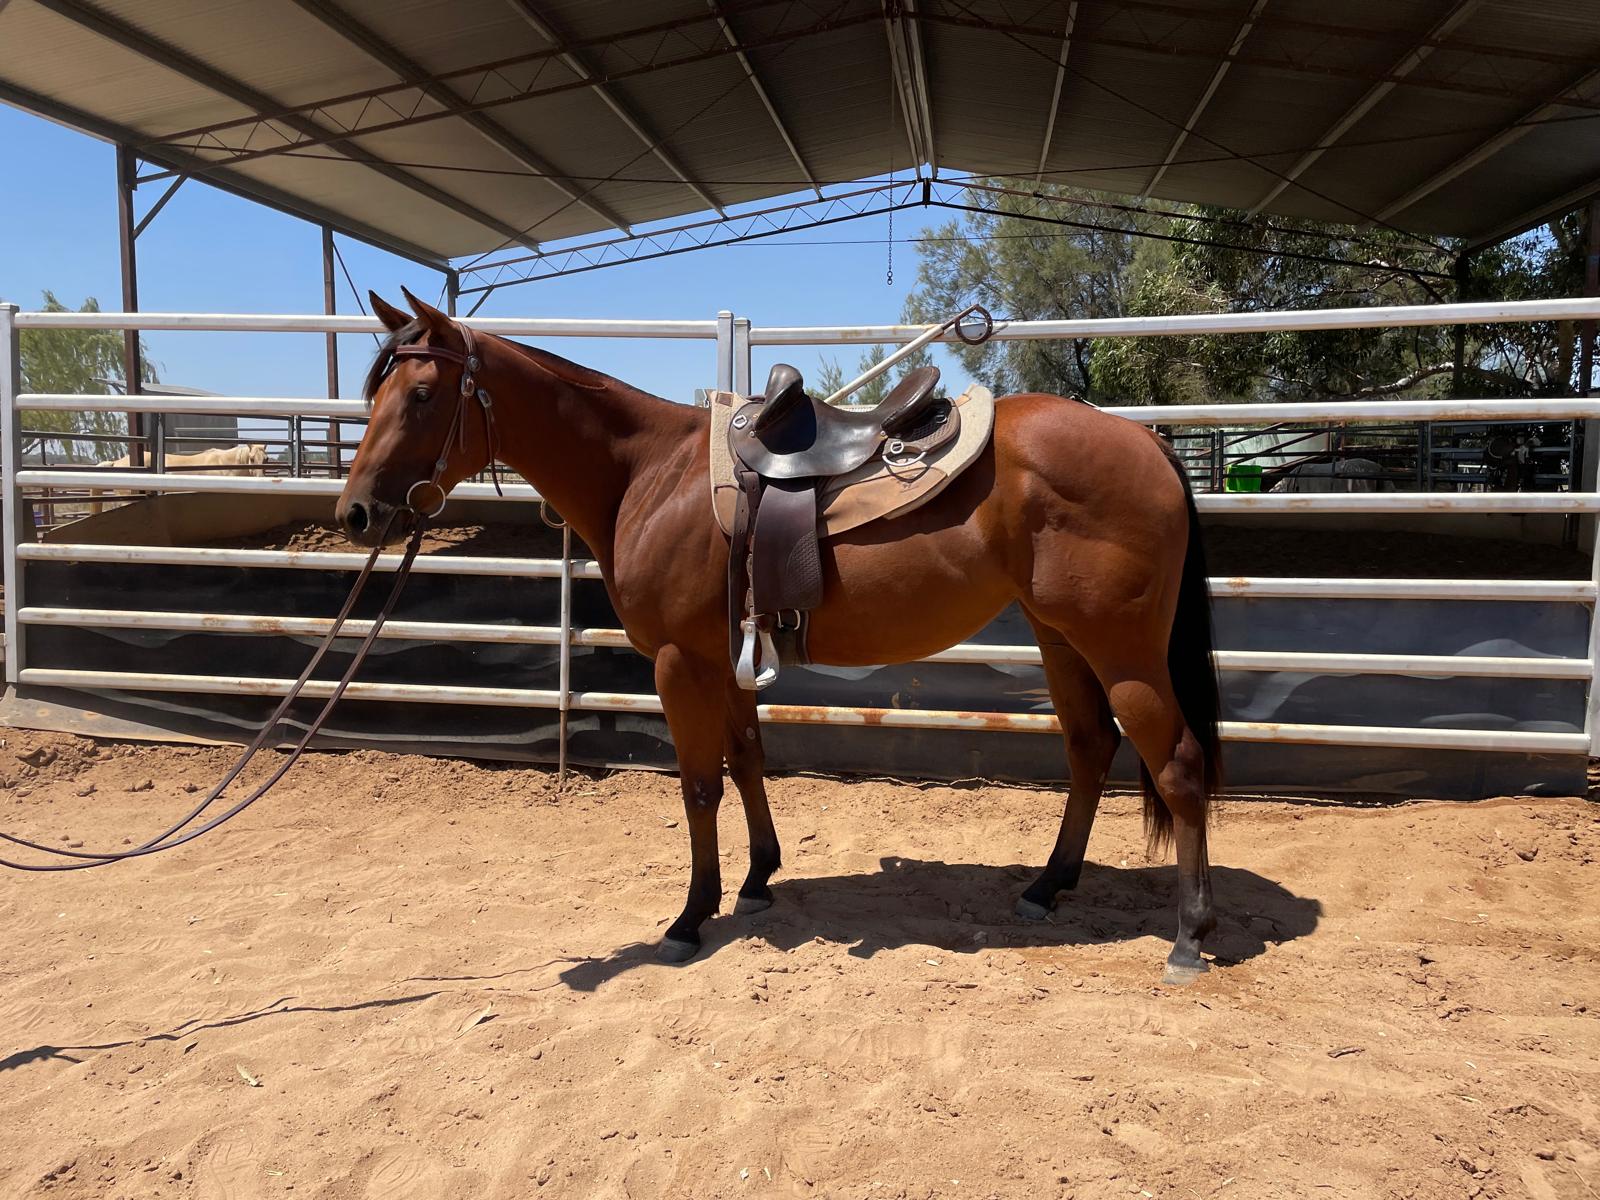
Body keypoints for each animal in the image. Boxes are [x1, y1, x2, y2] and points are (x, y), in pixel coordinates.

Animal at [336, 290, 1223, 983]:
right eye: (376, 392)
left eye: (422, 394)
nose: (357, 514)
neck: (648, 474)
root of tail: (1146, 440)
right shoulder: (723, 657)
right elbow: (749, 759)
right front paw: (759, 877)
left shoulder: (678, 664)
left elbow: (699, 785)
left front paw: (691, 918)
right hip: (1058, 636)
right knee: (1089, 748)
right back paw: (1047, 887)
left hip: (1120, 647)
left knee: (1177, 765)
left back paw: (1188, 936)